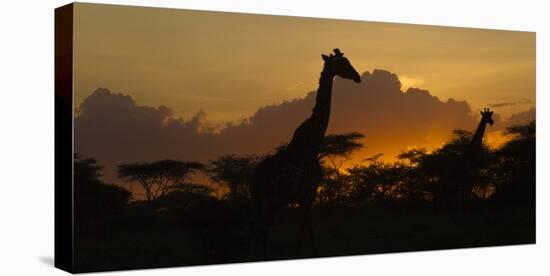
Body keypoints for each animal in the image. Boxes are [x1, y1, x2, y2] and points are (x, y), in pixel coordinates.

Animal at [250, 48, 362, 256]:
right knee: (261, 229)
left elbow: (309, 233)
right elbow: (302, 235)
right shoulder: (309, 192)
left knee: (259, 230)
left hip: (266, 200)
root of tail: (255, 178)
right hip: (271, 199)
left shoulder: (306, 196)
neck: (312, 143)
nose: (357, 76)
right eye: (343, 63)